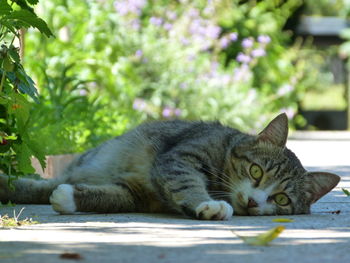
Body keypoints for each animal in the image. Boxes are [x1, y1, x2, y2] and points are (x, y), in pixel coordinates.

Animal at [0, 113, 340, 221]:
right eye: (256, 171)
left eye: (281, 199)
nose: (254, 202)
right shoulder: (180, 159)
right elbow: (187, 181)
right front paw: (207, 204)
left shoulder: (135, 194)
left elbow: (111, 197)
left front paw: (69, 197)